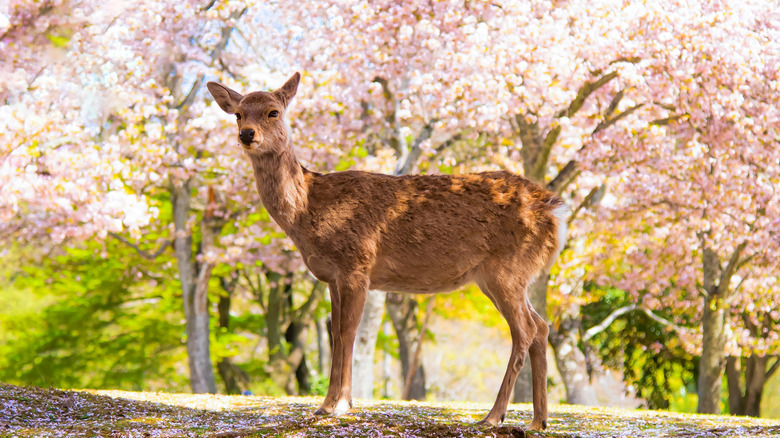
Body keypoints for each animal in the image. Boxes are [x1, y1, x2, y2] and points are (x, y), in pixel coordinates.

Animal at [209, 72, 568, 432]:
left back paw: (494, 416)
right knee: (542, 326)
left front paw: (338, 405)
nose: (246, 134)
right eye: (238, 114)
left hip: (506, 268)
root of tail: (554, 211)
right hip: (505, 276)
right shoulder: (332, 277)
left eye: (273, 112)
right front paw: (327, 405)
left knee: (525, 330)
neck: (309, 209)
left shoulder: (357, 263)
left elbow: (347, 332)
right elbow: (336, 334)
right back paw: (538, 420)